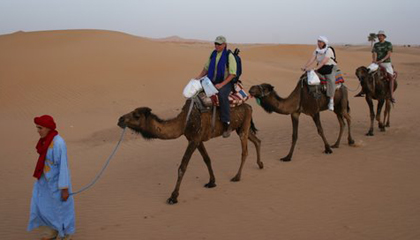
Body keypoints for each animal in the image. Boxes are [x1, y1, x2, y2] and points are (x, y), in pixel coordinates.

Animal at [118, 99, 262, 204]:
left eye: (136, 115)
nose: (120, 119)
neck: (183, 122)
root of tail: (249, 106)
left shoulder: (194, 139)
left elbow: (182, 167)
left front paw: (173, 197)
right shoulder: (196, 139)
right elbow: (207, 159)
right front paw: (212, 182)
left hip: (243, 126)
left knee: (245, 151)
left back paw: (237, 177)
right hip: (240, 127)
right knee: (257, 140)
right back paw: (260, 164)